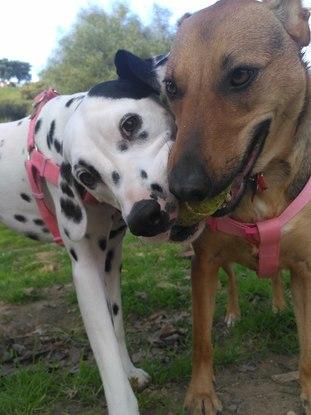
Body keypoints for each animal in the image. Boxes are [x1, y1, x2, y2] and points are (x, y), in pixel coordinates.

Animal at [163, 1, 311, 414]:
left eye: (241, 75)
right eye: (170, 87)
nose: (182, 189)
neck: (259, 194)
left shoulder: (305, 269)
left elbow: (308, 344)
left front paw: (309, 390)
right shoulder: (203, 263)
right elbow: (201, 340)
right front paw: (200, 393)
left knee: (275, 274)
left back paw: (277, 301)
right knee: (231, 280)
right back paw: (232, 312)